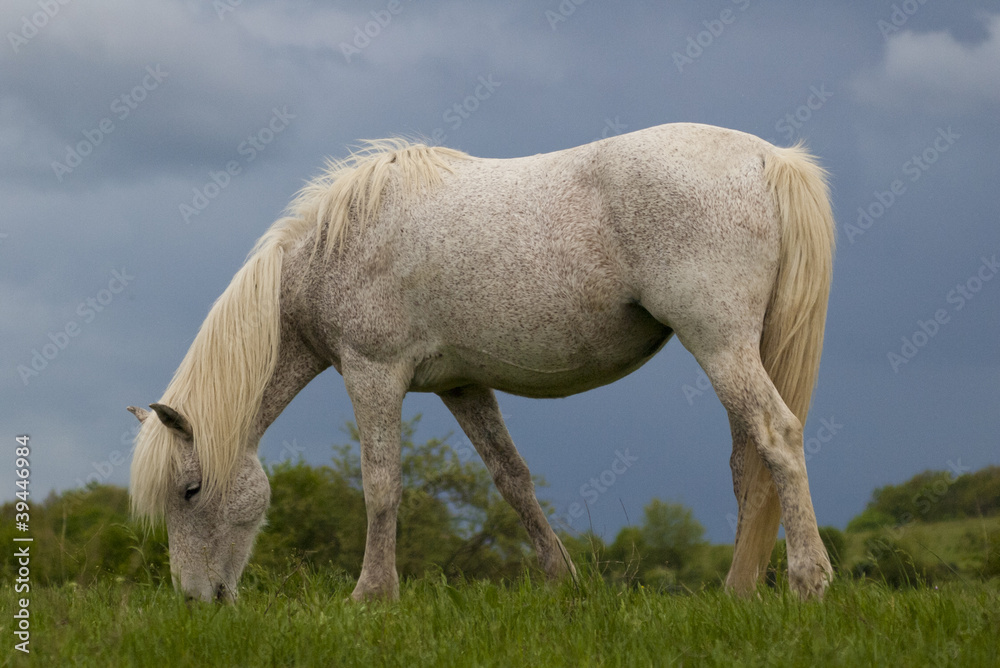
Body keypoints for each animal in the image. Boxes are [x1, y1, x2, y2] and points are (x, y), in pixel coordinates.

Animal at [128, 122, 835, 602]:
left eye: (190, 490)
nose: (195, 600)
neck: (332, 251)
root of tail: (769, 158)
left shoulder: (372, 373)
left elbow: (381, 485)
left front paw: (372, 594)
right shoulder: (464, 388)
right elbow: (512, 480)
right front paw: (562, 581)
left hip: (720, 344)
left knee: (776, 437)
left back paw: (809, 579)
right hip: (740, 350)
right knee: (748, 465)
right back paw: (739, 591)